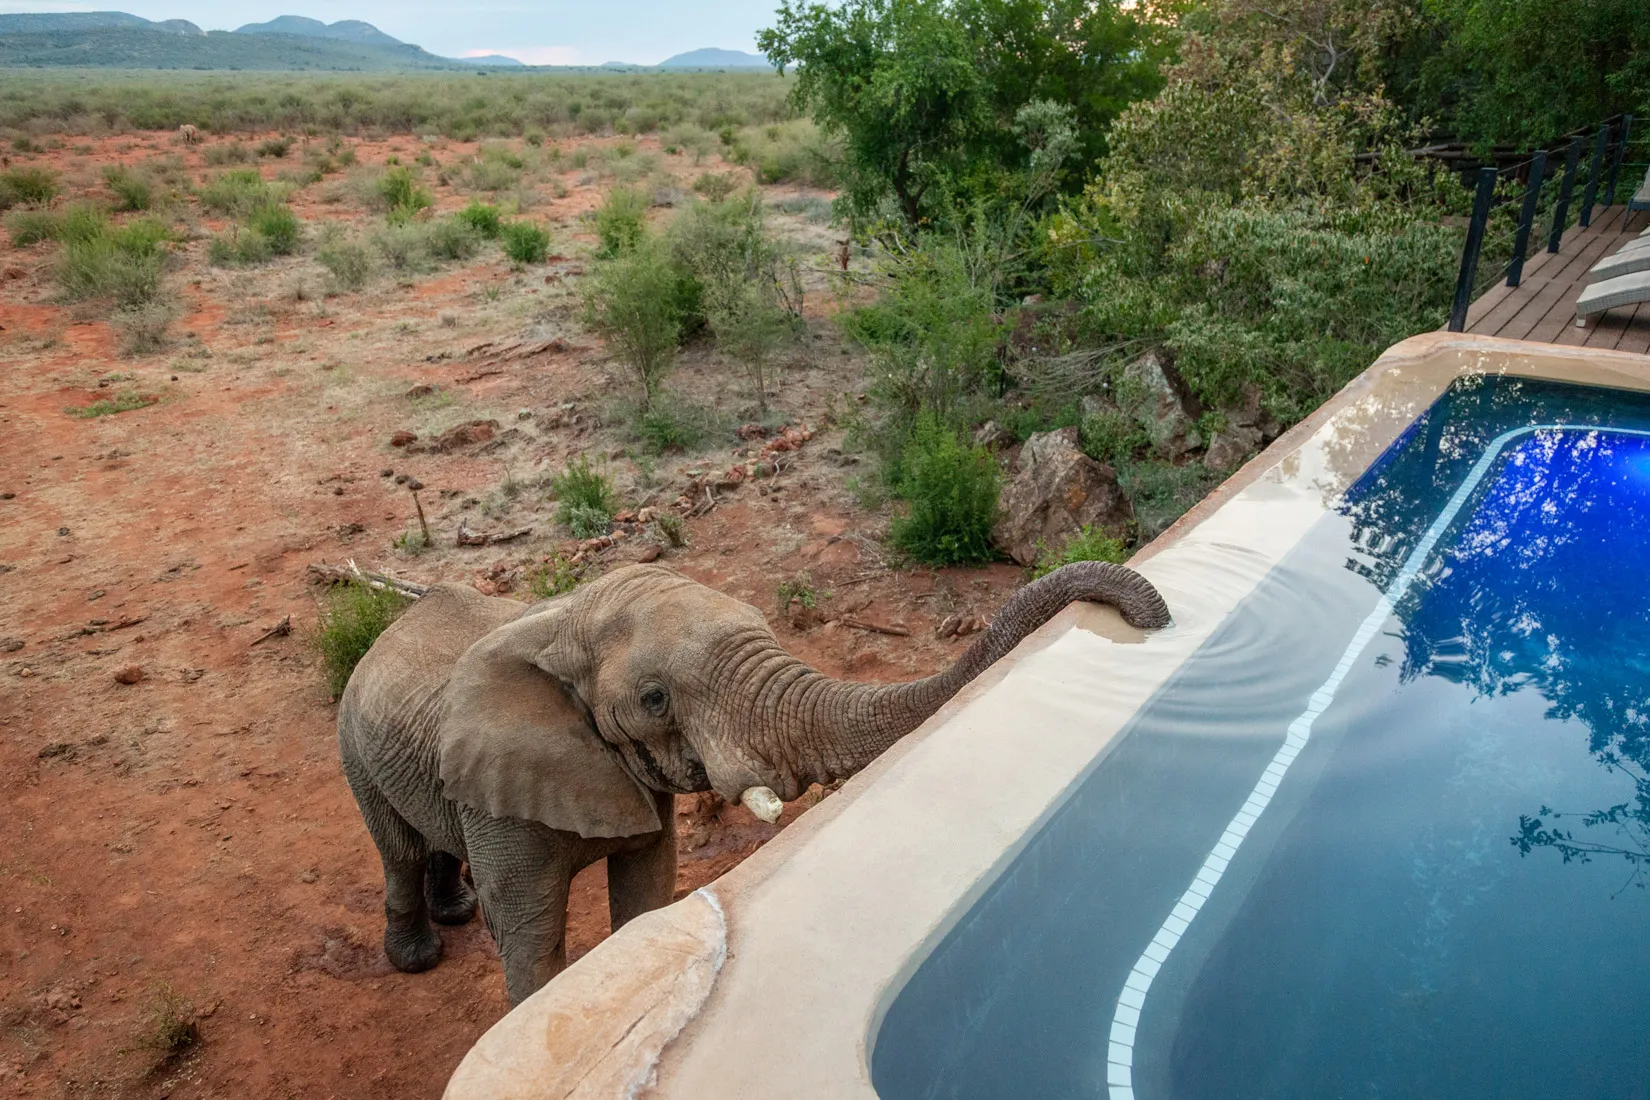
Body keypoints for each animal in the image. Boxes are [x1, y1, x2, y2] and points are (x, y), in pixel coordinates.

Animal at [336, 560, 1169, 1005]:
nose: (1149, 616)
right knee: (398, 851)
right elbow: (530, 932)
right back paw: (418, 957)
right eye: (655, 699)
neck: (563, 616)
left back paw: (452, 914)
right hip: (353, 742)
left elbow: (647, 886)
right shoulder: (501, 788)